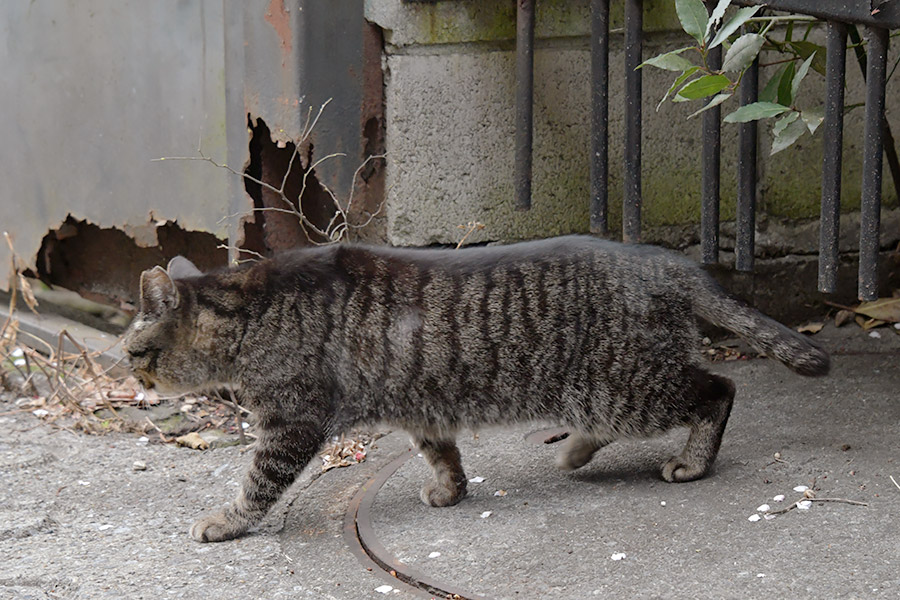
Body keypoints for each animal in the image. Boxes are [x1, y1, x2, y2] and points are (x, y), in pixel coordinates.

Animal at [121, 236, 828, 544]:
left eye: (134, 350)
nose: (130, 376)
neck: (248, 312)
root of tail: (672, 263)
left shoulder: (289, 423)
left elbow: (257, 484)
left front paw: (227, 521)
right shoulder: (419, 405)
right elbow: (443, 452)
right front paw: (450, 490)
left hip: (628, 384)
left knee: (718, 389)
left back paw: (691, 461)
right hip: (607, 388)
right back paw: (575, 450)